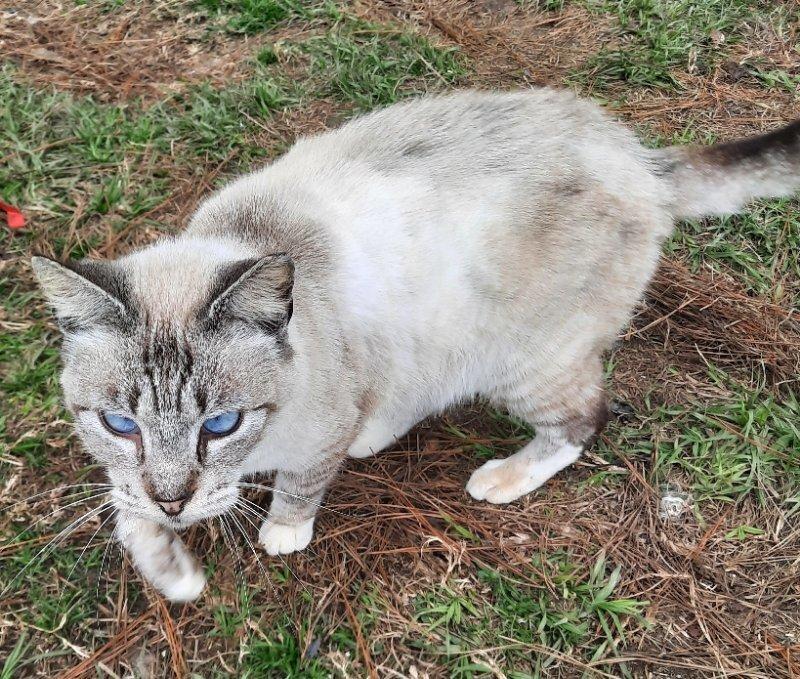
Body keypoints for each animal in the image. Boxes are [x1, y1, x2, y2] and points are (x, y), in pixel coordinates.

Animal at [32, 89, 800, 600]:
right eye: (119, 424)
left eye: (220, 424)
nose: (173, 501)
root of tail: (639, 157)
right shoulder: (126, 469)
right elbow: (126, 512)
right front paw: (174, 571)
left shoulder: (316, 431)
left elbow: (300, 486)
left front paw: (282, 531)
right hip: (434, 338)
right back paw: (374, 436)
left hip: (524, 361)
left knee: (584, 419)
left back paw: (500, 476)